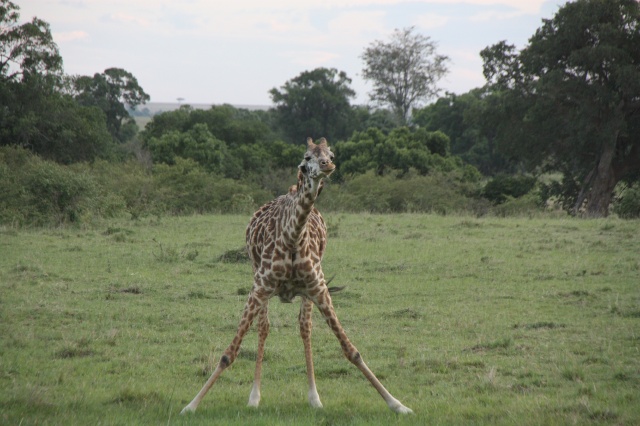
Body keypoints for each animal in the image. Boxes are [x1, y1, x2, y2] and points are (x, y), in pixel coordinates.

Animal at [180, 137, 413, 415]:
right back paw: (254, 396)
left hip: (307, 291)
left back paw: (314, 398)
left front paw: (397, 404)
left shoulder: (319, 289)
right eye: (307, 157)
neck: (293, 237)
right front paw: (191, 405)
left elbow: (352, 351)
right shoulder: (259, 288)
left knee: (304, 327)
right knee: (264, 327)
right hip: (257, 278)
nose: (327, 165)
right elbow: (229, 353)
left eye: (331, 154)